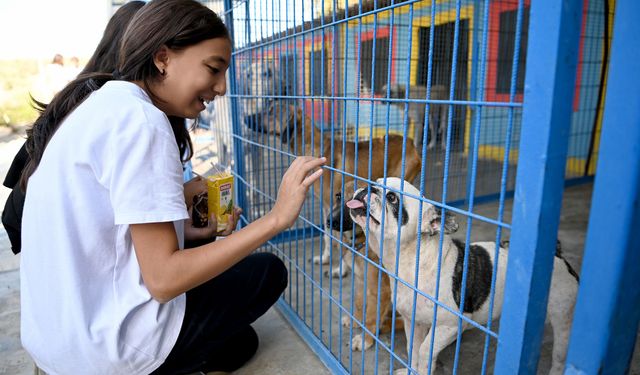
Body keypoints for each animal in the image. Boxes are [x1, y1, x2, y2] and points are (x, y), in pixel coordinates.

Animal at [260, 103, 424, 280]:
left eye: (270, 113)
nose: (248, 119)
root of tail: (409, 141)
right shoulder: (328, 207)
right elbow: (327, 235)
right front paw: (325, 258)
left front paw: (340, 269)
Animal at [348, 178, 584, 374]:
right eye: (375, 181)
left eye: (392, 198)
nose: (368, 187)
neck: (411, 260)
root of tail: (557, 254)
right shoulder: (413, 321)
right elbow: (413, 349)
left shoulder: (449, 326)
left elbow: (424, 351)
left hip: (563, 319)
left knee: (560, 356)